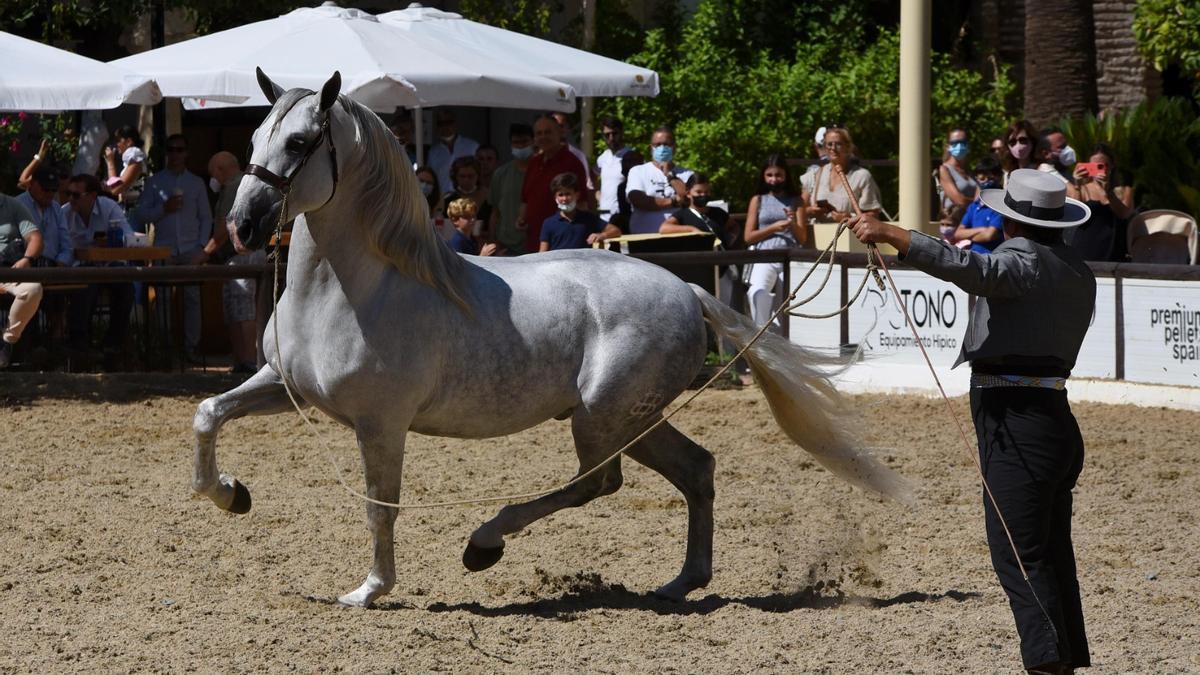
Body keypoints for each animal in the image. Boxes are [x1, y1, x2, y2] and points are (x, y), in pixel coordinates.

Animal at [192, 70, 907, 607]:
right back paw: (680, 583)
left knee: (600, 482)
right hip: (632, 420)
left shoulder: (381, 424)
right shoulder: (283, 387)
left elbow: (379, 505)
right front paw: (230, 495)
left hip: (602, 417)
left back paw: (485, 543)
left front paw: (369, 590)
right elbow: (207, 413)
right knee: (695, 470)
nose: (242, 226)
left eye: (301, 141)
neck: (354, 290)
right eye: (254, 134)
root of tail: (688, 289)